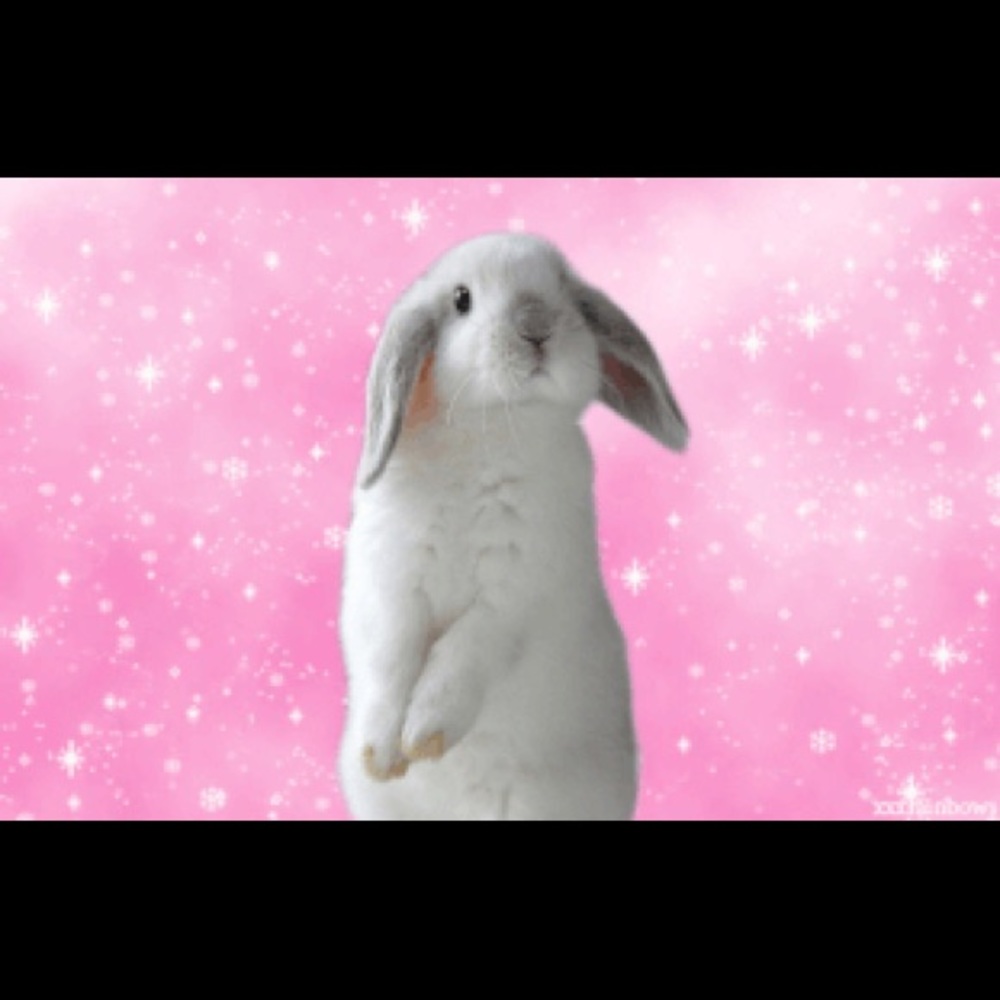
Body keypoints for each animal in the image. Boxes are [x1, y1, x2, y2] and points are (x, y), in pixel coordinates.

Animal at [337, 232, 689, 820]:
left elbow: (461, 654)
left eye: (565, 291)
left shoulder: (512, 594)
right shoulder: (392, 586)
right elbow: (391, 657)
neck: (490, 431)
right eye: (461, 299)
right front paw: (383, 754)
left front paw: (426, 736)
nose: (537, 326)